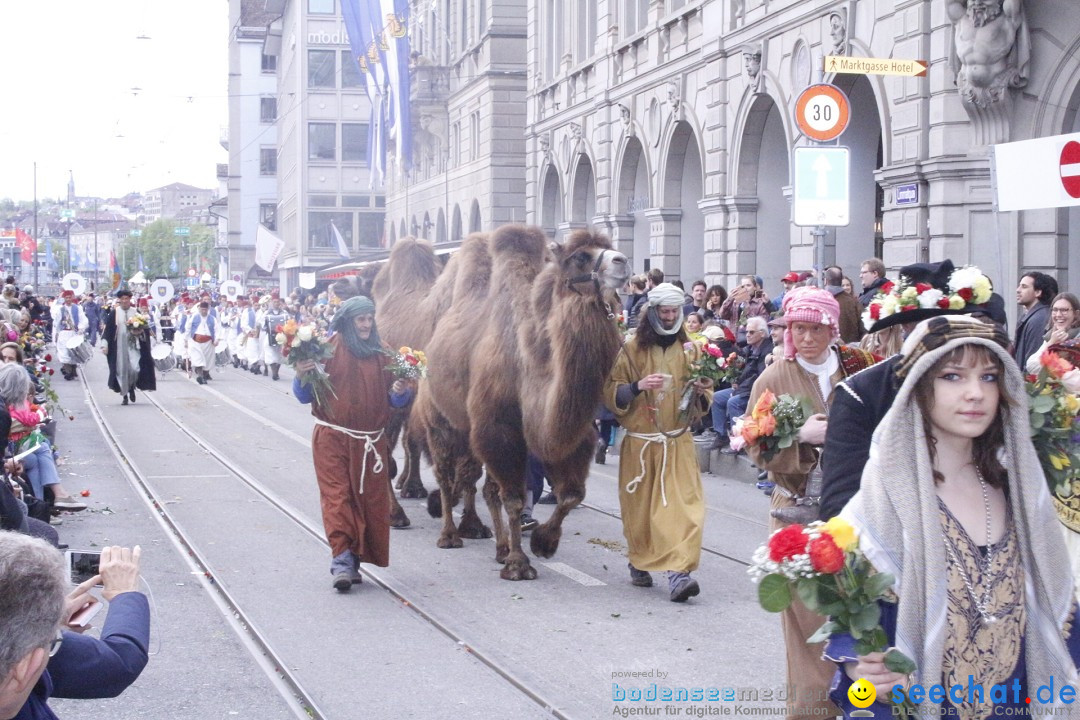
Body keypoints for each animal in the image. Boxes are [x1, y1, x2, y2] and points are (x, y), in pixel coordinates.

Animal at [416, 225, 630, 578]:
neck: (529, 364)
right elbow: (515, 498)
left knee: (477, 482)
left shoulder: (562, 434)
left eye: (609, 246)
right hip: (440, 419)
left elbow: (572, 494)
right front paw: (518, 563)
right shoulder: (499, 430)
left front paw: (543, 542)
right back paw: (450, 535)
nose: (622, 260)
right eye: (579, 257)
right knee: (447, 476)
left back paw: (486, 536)